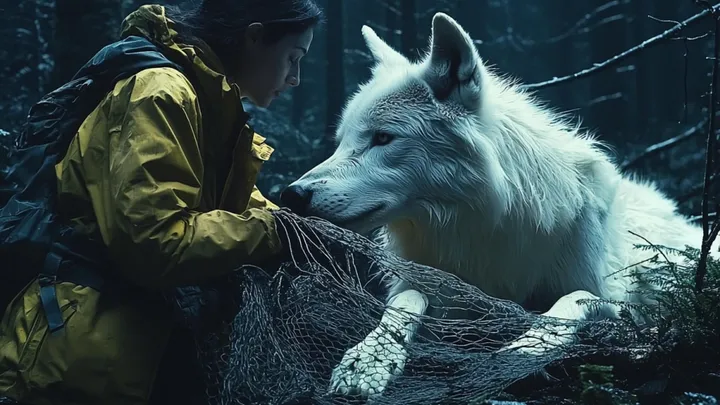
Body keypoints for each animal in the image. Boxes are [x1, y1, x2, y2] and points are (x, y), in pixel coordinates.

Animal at [280, 12, 719, 399]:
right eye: (341, 141)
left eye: (383, 138)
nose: (292, 194)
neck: (476, 223)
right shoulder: (437, 292)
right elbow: (405, 303)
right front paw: (368, 360)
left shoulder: (613, 300)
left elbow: (571, 300)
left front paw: (522, 350)